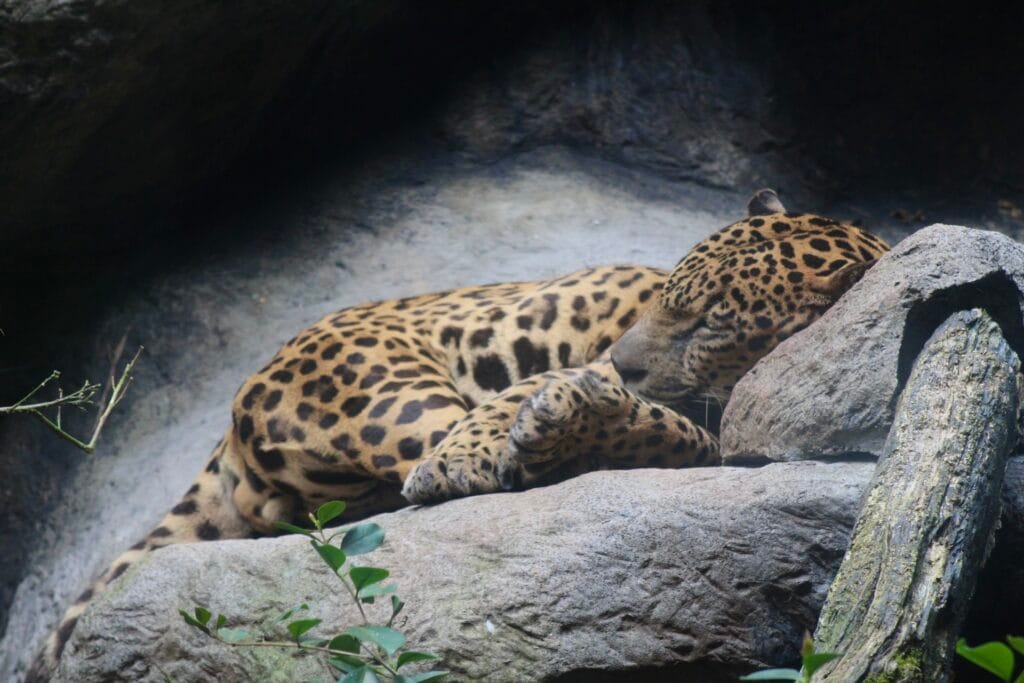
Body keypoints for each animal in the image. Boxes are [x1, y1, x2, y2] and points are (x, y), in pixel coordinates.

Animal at [28, 189, 889, 680]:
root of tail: (227, 433)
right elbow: (530, 404)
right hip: (383, 381)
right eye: (669, 297)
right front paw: (543, 419)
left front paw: (573, 414)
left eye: (713, 322)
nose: (624, 359)